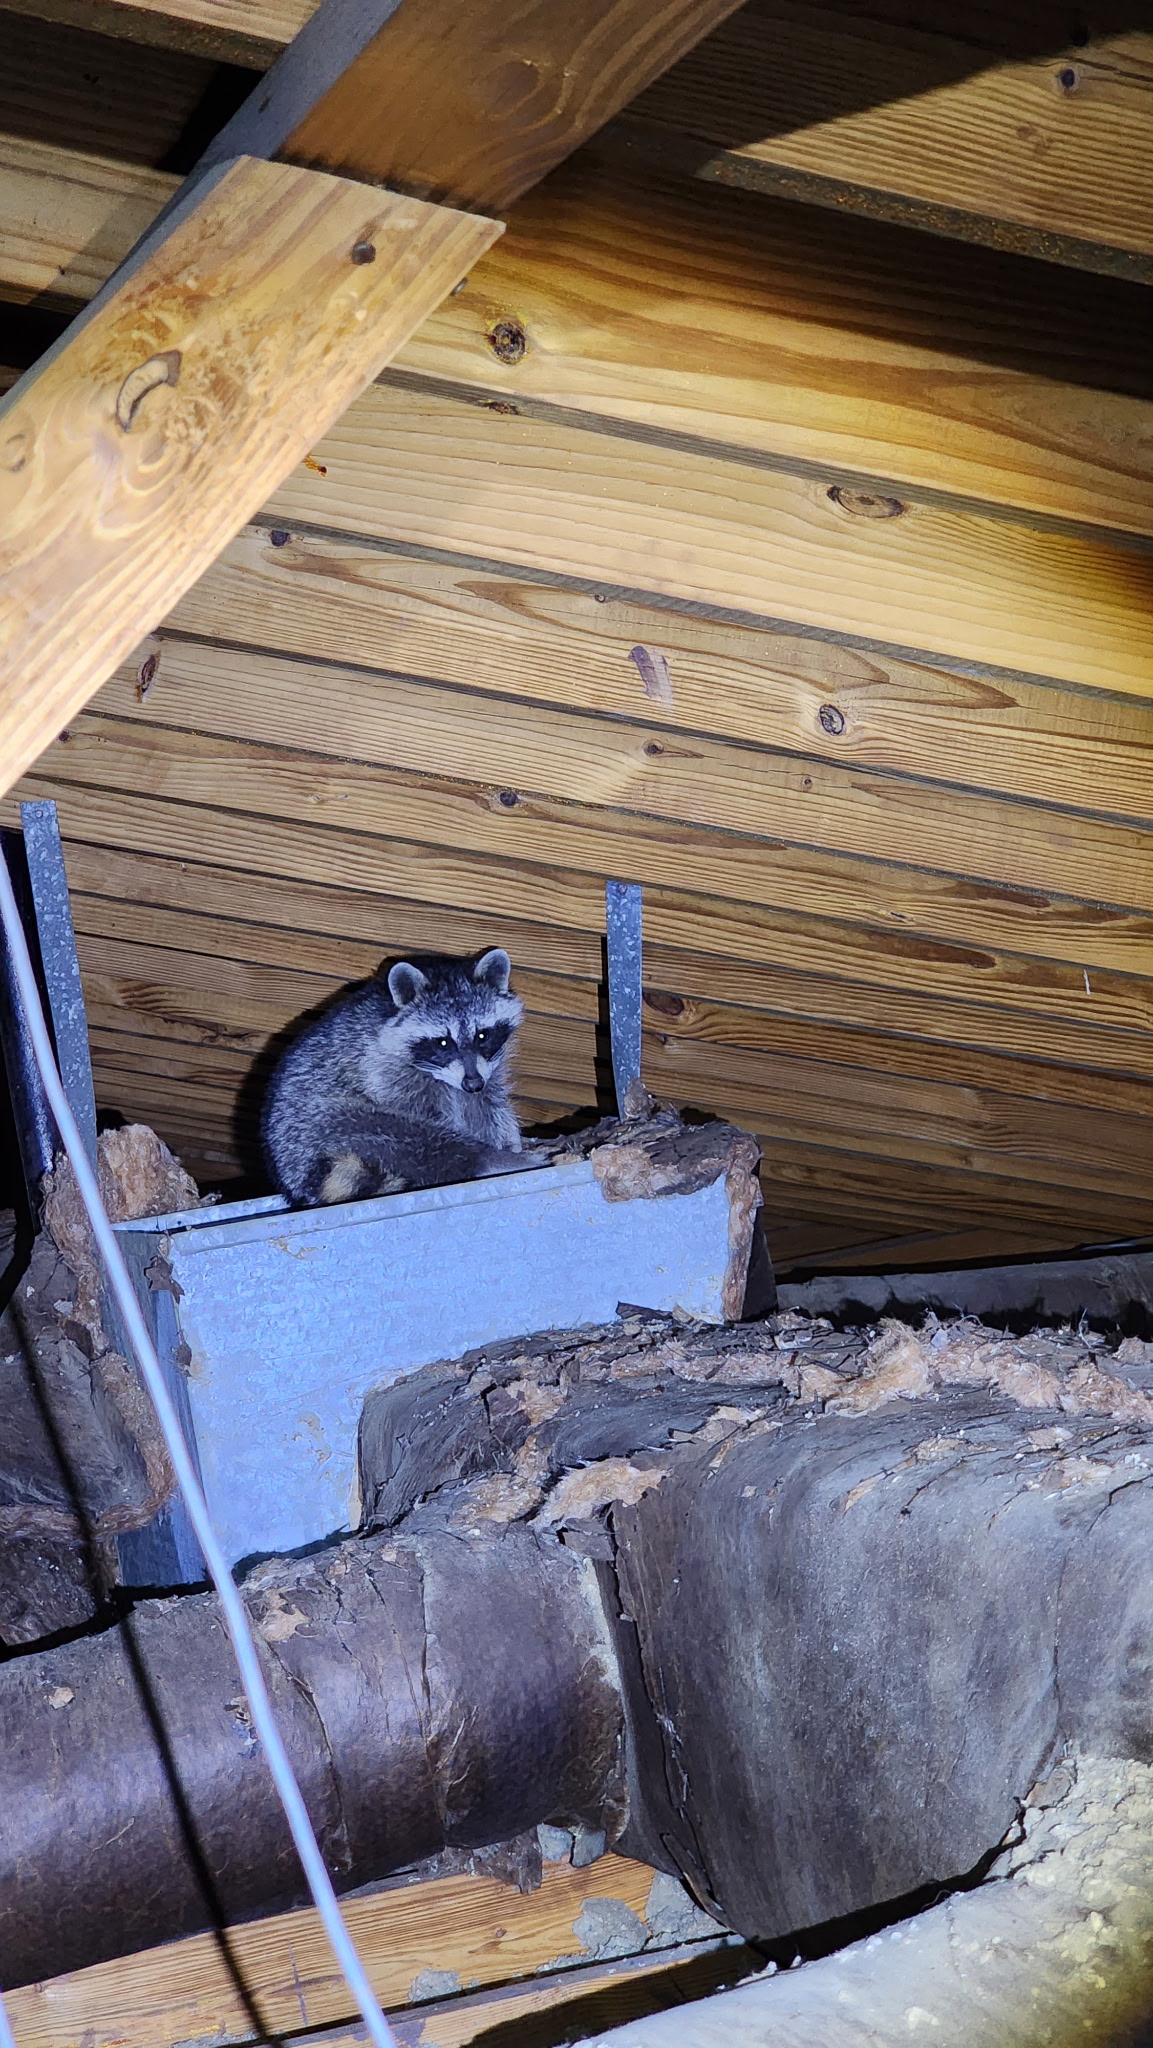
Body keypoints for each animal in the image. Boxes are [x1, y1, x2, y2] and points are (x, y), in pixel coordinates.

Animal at [262, 948, 541, 1207]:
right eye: (443, 1042)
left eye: (482, 1035)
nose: (472, 1084)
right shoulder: (384, 1069)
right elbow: (428, 1120)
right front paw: (497, 1152)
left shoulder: (489, 1069)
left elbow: (490, 1105)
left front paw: (508, 1140)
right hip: (320, 1127)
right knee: (412, 1136)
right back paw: (485, 1159)